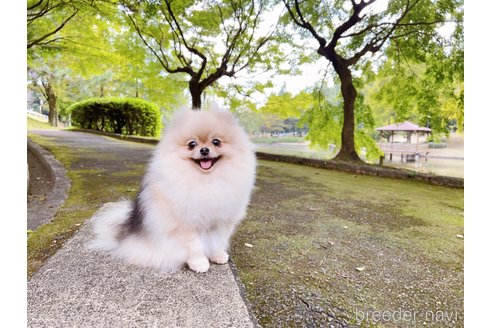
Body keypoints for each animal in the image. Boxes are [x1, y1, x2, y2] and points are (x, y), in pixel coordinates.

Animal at [89, 107, 258, 272]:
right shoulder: (186, 224)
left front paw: (217, 255)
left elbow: (218, 240)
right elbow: (196, 246)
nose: (204, 150)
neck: (205, 180)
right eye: (192, 144)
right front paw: (199, 263)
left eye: (216, 142)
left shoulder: (222, 220)